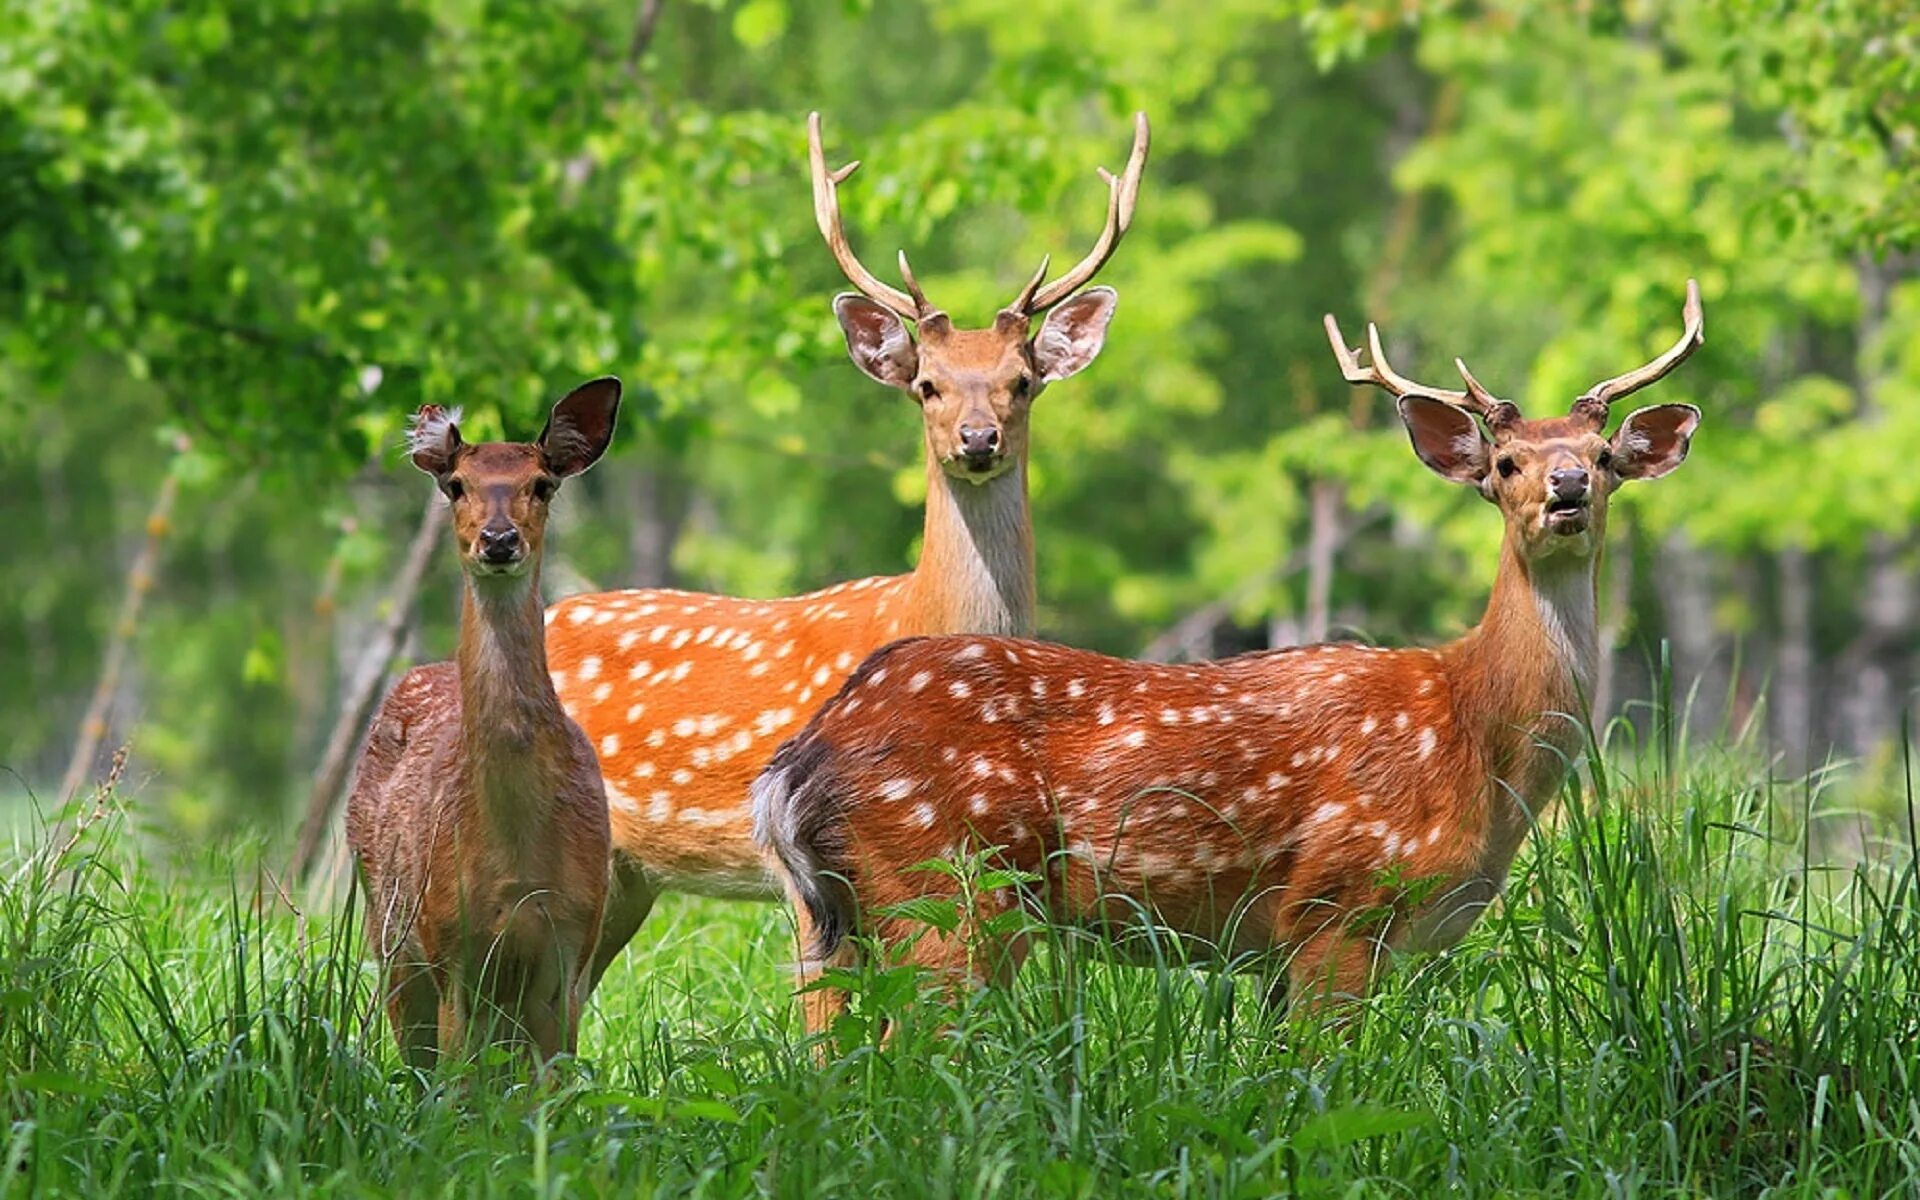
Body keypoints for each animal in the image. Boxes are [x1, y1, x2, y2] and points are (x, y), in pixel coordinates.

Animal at [341, 378, 618, 1059]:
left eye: (543, 483)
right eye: (456, 484)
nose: (498, 539)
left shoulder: (573, 941)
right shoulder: (451, 947)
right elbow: (453, 1083)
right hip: (390, 936)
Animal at [756, 278, 1704, 1021]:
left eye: (1605, 455)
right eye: (1504, 463)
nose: (1567, 487)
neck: (1474, 734)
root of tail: (803, 758)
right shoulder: (1339, 904)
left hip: (856, 916)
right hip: (949, 887)